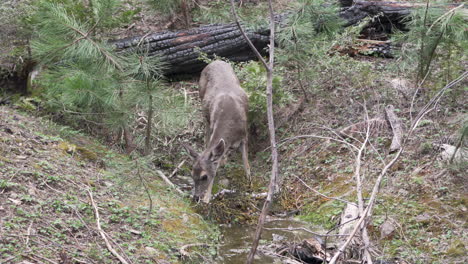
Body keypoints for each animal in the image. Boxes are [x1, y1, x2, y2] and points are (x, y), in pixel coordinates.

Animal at [183, 60, 250, 204]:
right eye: (192, 174)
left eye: (204, 176)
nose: (196, 197)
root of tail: (215, 61)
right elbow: (216, 163)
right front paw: (207, 198)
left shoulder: (244, 135)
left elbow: (246, 162)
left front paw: (249, 181)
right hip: (203, 103)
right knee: (207, 136)